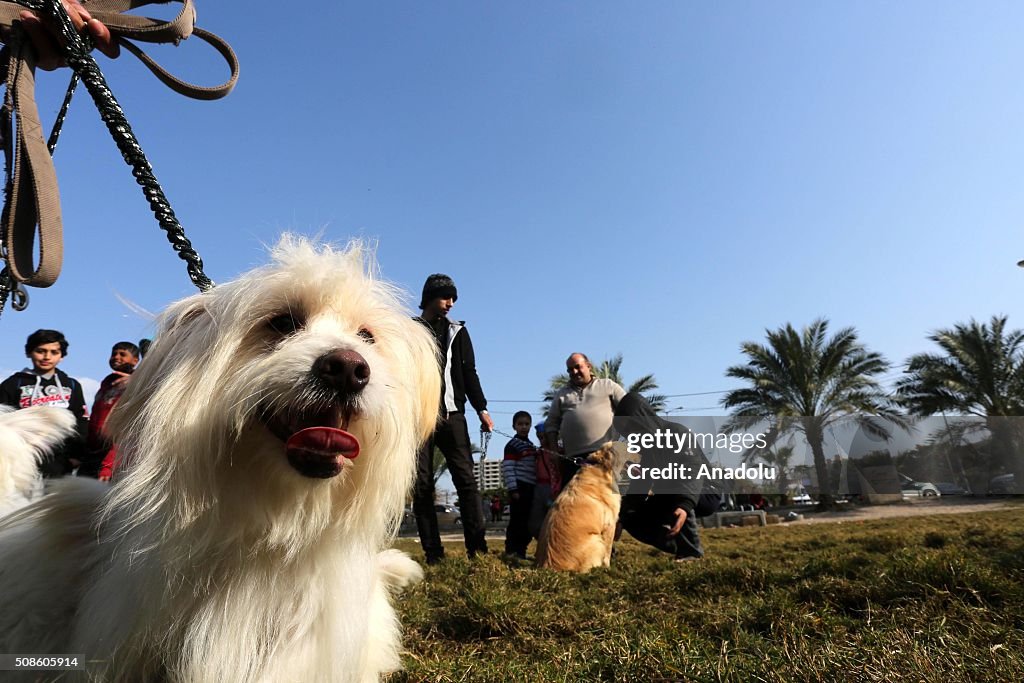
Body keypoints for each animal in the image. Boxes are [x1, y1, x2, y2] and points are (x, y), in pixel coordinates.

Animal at [532, 438, 626, 573]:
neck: (600, 466)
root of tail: (547, 566)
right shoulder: (610, 524)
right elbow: (608, 553)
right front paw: (608, 568)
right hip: (597, 541)